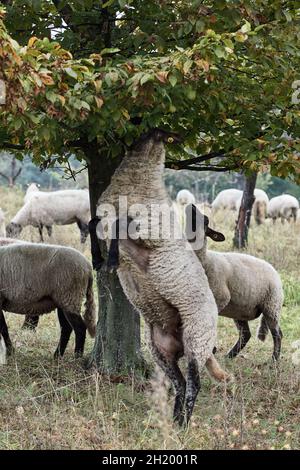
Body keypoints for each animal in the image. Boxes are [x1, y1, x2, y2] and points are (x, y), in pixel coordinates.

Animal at [90, 130, 231, 428]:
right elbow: (93, 222)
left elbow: (118, 225)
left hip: (197, 339)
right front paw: (98, 260)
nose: (139, 138)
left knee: (194, 384)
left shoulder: (146, 232)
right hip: (161, 350)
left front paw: (110, 261)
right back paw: (174, 421)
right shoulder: (107, 215)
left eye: (155, 133)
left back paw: (183, 425)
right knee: (179, 383)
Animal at [185, 204, 284, 362]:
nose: (191, 206)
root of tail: (275, 272)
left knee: (277, 334)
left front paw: (211, 349)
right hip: (241, 309)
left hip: (271, 305)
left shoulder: (220, 298)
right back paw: (230, 356)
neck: (205, 259)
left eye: (205, 220)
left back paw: (274, 360)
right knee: (246, 334)